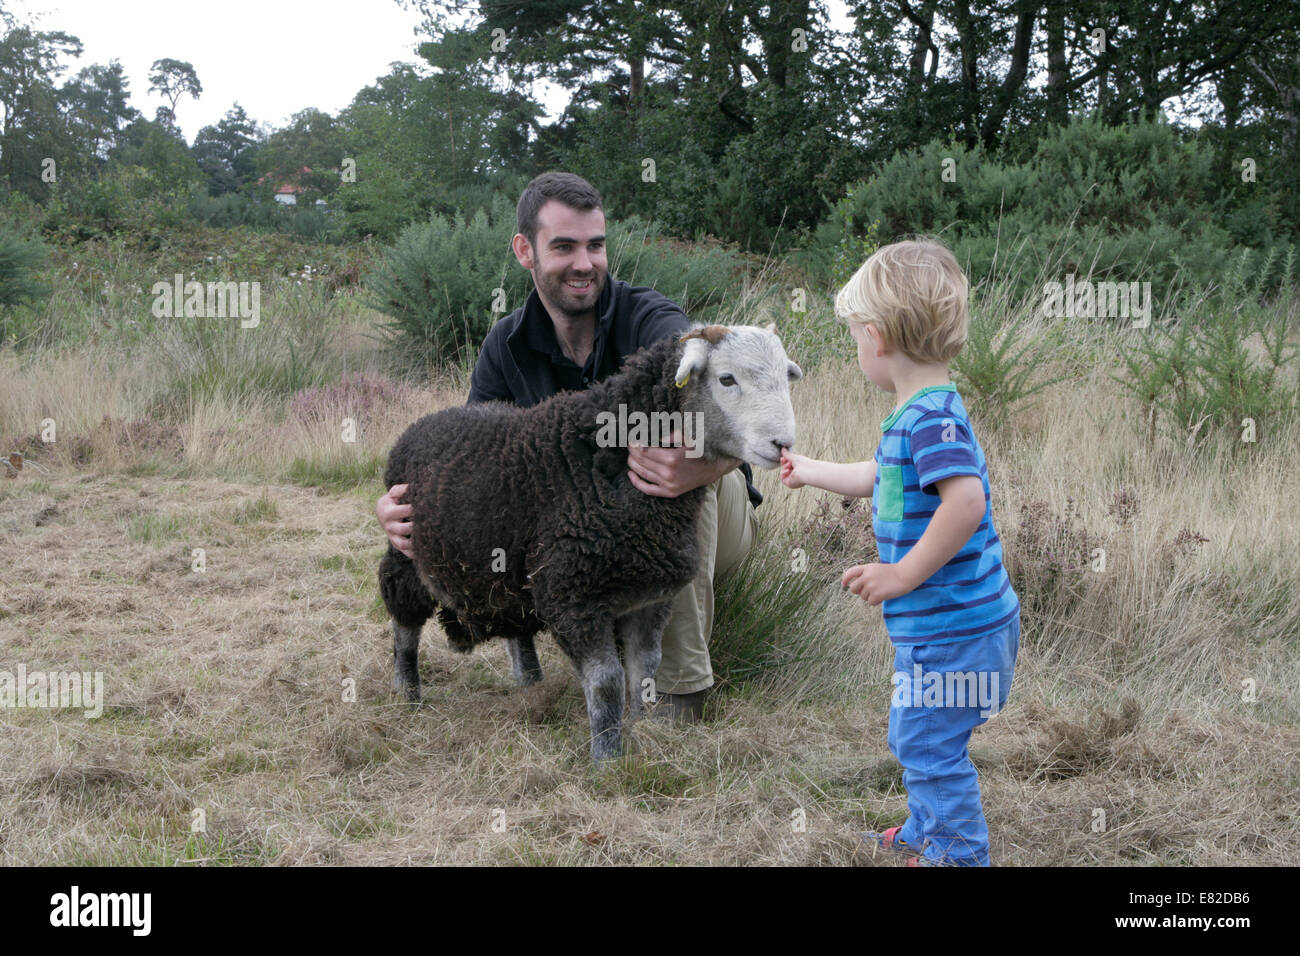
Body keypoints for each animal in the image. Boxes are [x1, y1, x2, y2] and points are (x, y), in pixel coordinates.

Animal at [377, 325, 800, 759]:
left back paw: (531, 684)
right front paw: (608, 756)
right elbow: (607, 682)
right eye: (726, 379)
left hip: (505, 563)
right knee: (403, 621)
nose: (783, 444)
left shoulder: (650, 599)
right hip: (407, 554)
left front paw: (641, 732)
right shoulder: (573, 599)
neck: (607, 455)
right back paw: (408, 693)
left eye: (786, 377)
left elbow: (644, 672)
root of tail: (421, 425)